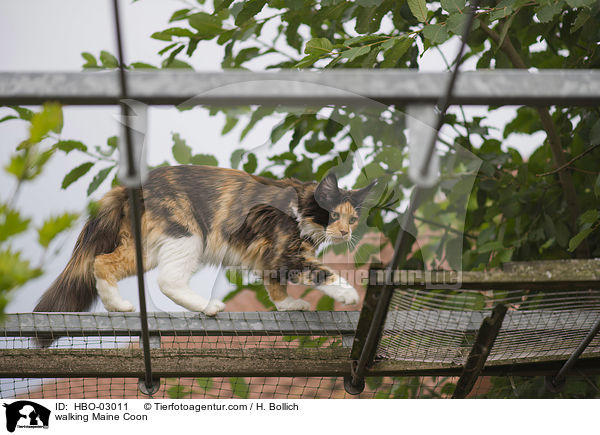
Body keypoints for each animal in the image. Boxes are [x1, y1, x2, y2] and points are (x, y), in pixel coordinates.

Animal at [34, 165, 376, 316]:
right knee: (164, 280)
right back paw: (207, 306)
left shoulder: (272, 259)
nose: (345, 233)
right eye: (333, 215)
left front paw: (288, 304)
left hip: (149, 247)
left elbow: (275, 287)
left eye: (352, 219)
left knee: (104, 262)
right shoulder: (286, 253)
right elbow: (321, 272)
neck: (299, 207)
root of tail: (131, 186)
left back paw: (116, 305)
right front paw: (347, 294)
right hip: (188, 235)